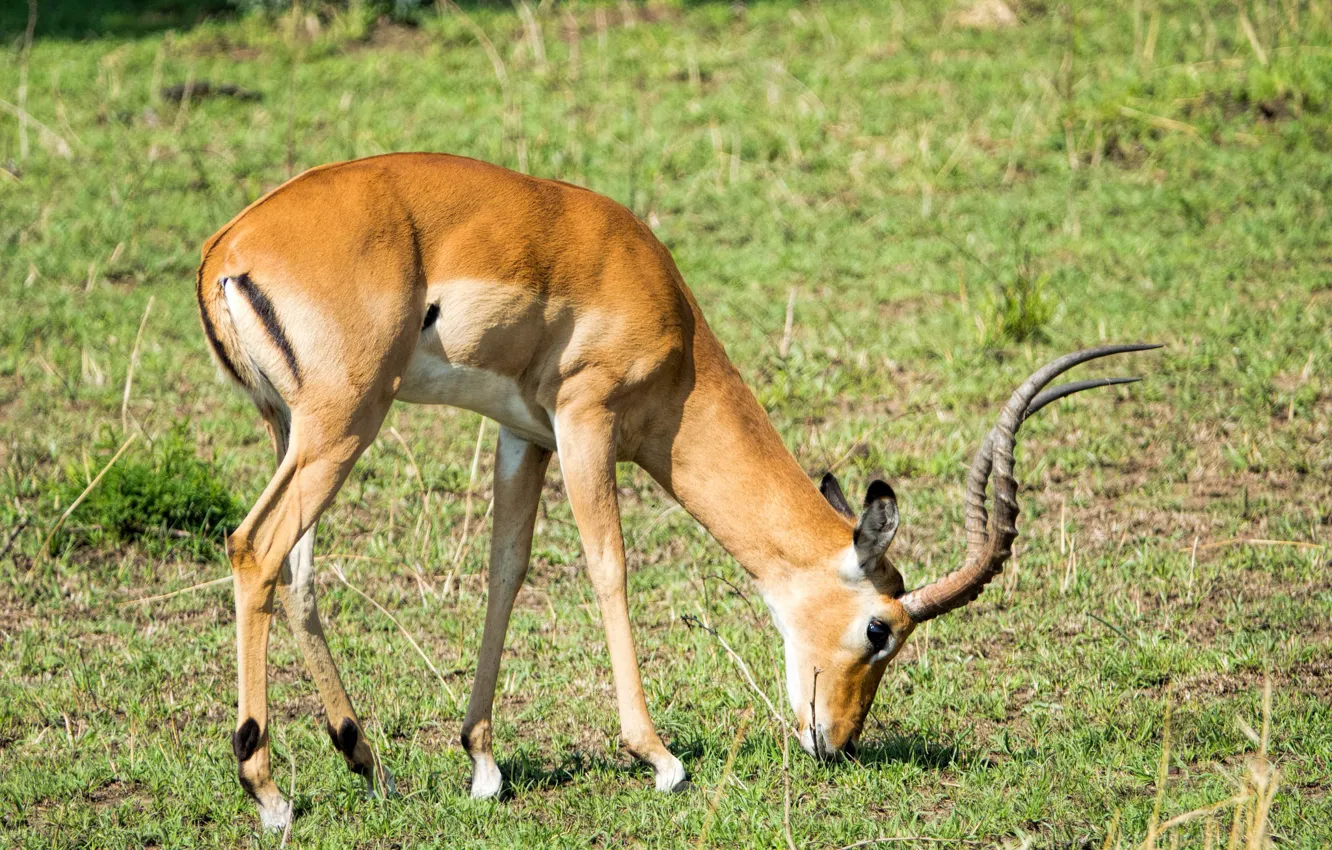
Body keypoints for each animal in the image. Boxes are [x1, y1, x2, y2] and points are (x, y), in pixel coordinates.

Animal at [194, 153, 1156, 831]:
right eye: (880, 630)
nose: (835, 741)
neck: (674, 323)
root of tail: (226, 248)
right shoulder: (585, 422)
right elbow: (610, 570)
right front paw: (658, 758)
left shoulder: (523, 434)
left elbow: (506, 574)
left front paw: (483, 764)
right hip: (345, 422)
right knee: (255, 548)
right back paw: (270, 794)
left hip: (297, 429)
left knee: (297, 575)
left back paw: (371, 767)